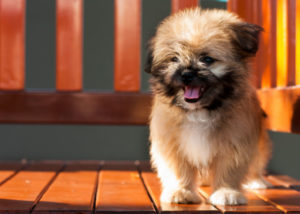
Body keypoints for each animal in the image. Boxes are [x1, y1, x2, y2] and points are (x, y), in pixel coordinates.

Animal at [145, 7, 272, 206]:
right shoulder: (172, 144)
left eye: (207, 59)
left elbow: (229, 169)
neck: (200, 111)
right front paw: (181, 191)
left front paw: (226, 192)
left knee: (257, 162)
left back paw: (257, 181)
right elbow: (178, 169)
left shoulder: (235, 141)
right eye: (174, 59)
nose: (186, 74)